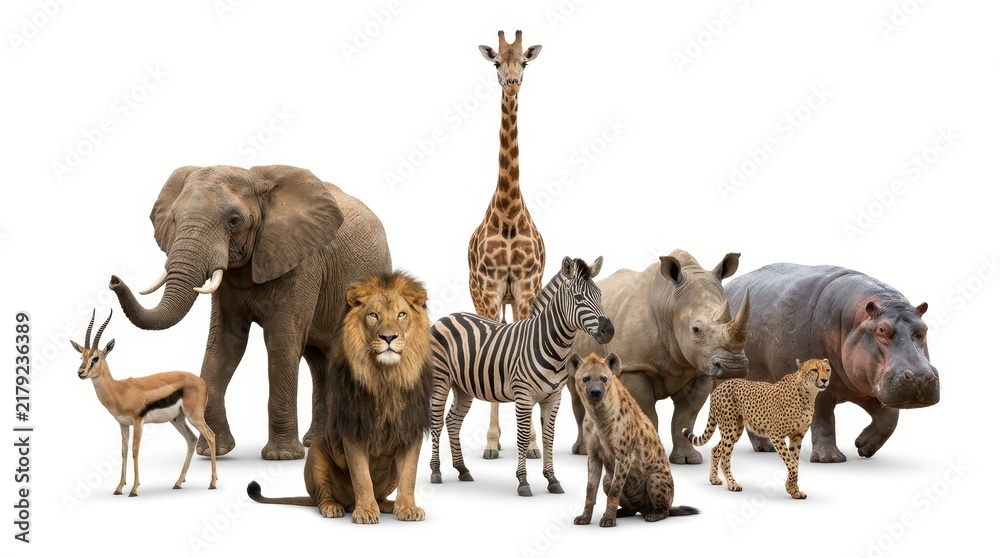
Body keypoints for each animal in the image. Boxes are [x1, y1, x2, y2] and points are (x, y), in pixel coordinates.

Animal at [109, 164, 392, 460]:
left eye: (234, 221)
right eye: (174, 218)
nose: (114, 281)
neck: (259, 180)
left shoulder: (302, 262)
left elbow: (281, 342)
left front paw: (281, 456)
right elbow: (225, 342)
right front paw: (214, 450)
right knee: (319, 359)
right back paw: (316, 442)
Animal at [247, 270, 433, 523]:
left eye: (401, 314)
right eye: (373, 315)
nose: (389, 337)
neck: (386, 378)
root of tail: (347, 503)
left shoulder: (409, 430)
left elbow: (409, 475)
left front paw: (407, 508)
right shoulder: (354, 430)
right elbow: (361, 476)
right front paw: (365, 512)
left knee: (382, 494)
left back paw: (387, 505)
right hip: (317, 452)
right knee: (322, 496)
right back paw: (334, 507)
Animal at [429, 256, 615, 496]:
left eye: (599, 295)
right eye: (578, 298)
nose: (609, 331)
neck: (548, 344)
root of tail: (447, 316)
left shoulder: (553, 398)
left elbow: (549, 438)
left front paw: (552, 480)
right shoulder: (523, 396)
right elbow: (523, 438)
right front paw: (523, 482)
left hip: (462, 386)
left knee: (452, 421)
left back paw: (462, 470)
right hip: (441, 380)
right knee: (436, 423)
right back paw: (436, 472)